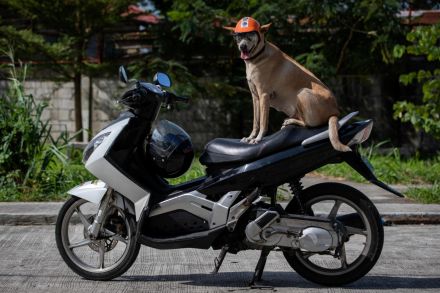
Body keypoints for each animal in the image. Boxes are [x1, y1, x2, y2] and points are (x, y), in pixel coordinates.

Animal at [223, 16, 350, 152]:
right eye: (239, 36)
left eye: (250, 35)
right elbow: (255, 122)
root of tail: (335, 112)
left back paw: (292, 122)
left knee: (309, 124)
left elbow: (262, 122)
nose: (242, 47)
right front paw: (251, 137)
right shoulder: (255, 97)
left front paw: (258, 139)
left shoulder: (264, 96)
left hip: (302, 93)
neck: (258, 56)